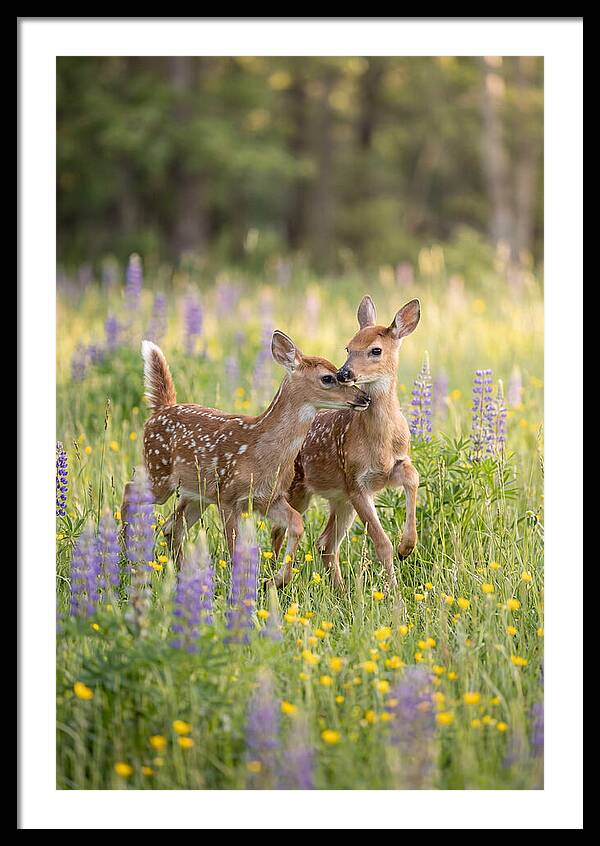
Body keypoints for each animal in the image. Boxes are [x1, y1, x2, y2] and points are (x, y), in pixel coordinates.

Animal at [121, 332, 370, 576]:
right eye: (328, 378)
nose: (364, 398)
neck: (261, 451)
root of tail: (161, 409)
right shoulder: (228, 497)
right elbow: (235, 548)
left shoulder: (268, 498)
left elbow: (297, 523)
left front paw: (278, 580)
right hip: (159, 472)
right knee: (130, 489)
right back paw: (125, 553)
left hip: (197, 494)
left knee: (171, 527)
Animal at [271, 297, 421, 590]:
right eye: (348, 347)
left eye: (376, 350)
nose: (344, 373)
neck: (380, 443)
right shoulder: (355, 482)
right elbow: (381, 543)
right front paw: (394, 592)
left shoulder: (390, 468)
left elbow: (413, 477)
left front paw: (407, 546)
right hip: (298, 490)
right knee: (279, 532)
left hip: (339, 499)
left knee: (325, 543)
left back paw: (340, 591)